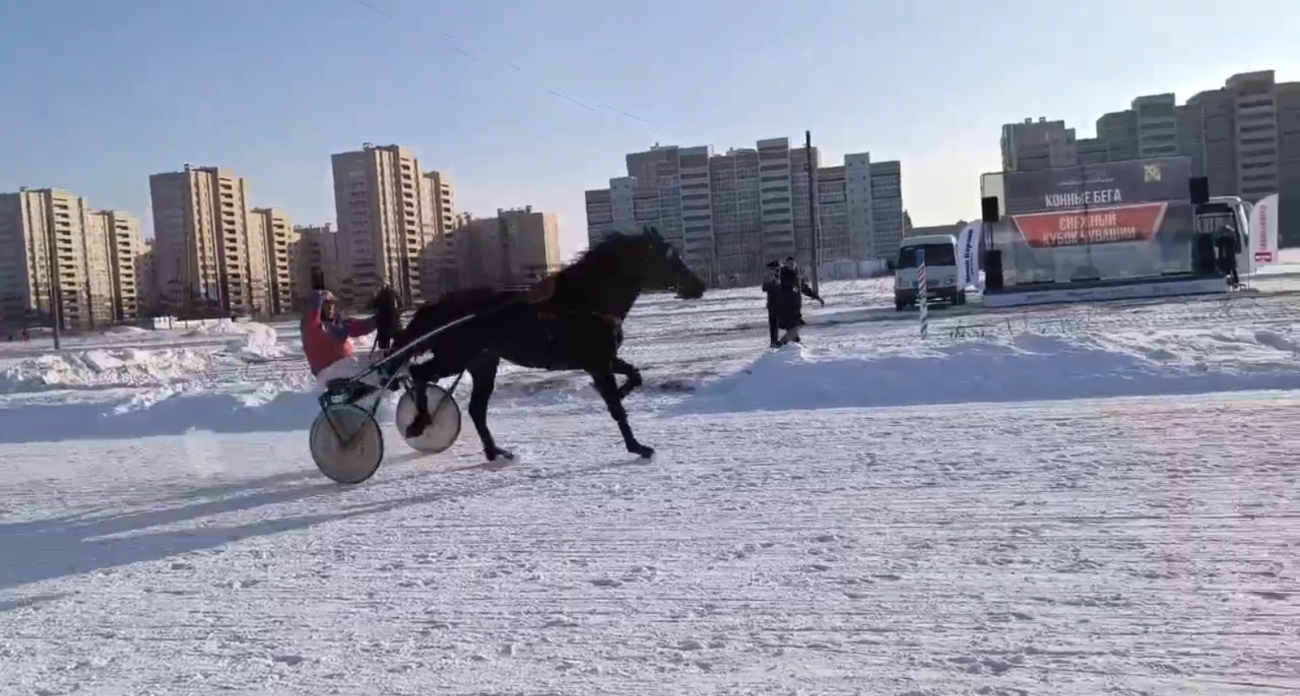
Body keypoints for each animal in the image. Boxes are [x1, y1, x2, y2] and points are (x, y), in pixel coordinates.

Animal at [390, 226, 707, 460]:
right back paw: (420, 422)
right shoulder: (597, 363)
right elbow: (616, 407)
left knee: (476, 408)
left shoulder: (605, 358)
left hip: (483, 363)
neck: (584, 302)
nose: (700, 285)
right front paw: (638, 447)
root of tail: (439, 305)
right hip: (454, 357)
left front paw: (624, 392)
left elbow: (635, 376)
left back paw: (495, 451)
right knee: (419, 373)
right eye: (668, 256)